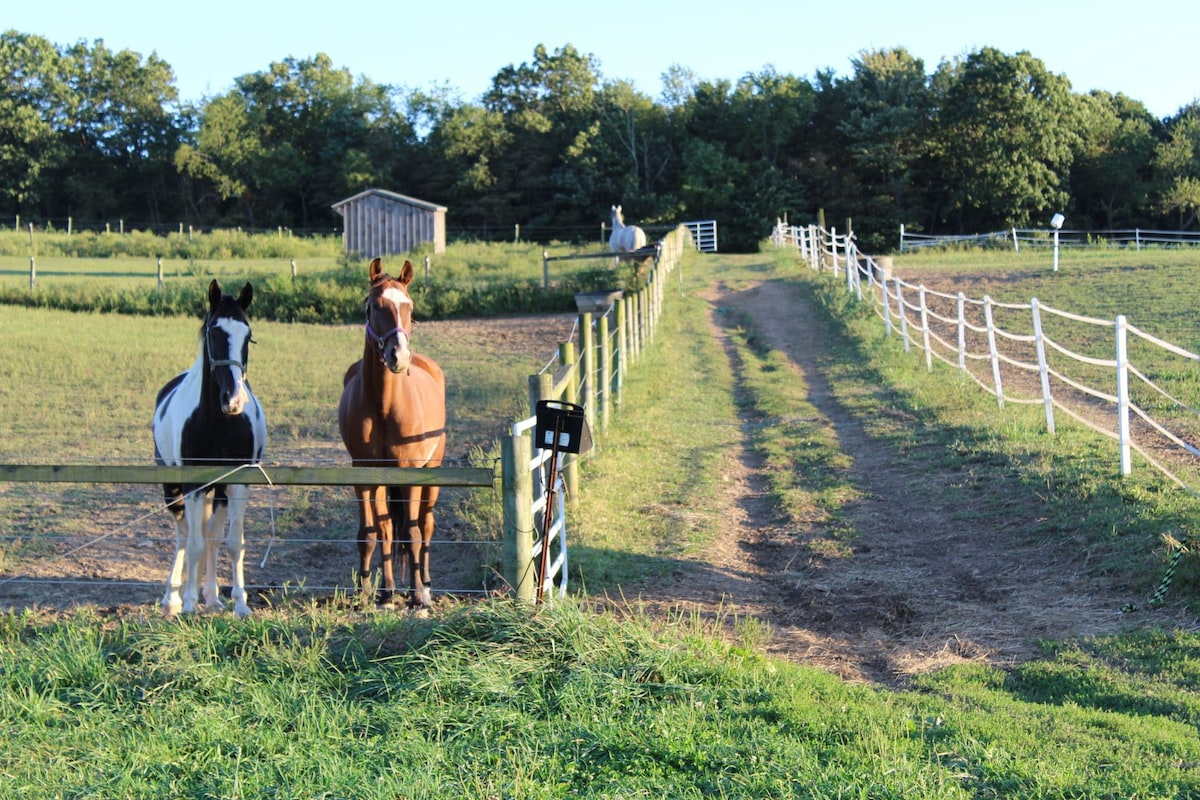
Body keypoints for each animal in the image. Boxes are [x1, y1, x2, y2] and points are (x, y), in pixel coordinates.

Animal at [153, 281, 266, 618]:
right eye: (214, 333)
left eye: (248, 335)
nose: (234, 400)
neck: (219, 422)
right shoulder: (192, 485)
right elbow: (193, 543)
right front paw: (189, 603)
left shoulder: (239, 484)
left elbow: (232, 543)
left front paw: (240, 604)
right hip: (172, 487)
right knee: (183, 535)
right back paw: (174, 597)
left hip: (219, 492)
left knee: (212, 537)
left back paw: (213, 597)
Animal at [338, 260, 446, 609]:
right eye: (374, 306)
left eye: (408, 305)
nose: (399, 356)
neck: (384, 405)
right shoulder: (364, 475)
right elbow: (372, 532)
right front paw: (371, 594)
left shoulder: (408, 473)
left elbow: (412, 534)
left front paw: (418, 597)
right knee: (387, 528)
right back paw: (388, 591)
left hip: (432, 471)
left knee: (426, 526)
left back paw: (425, 586)